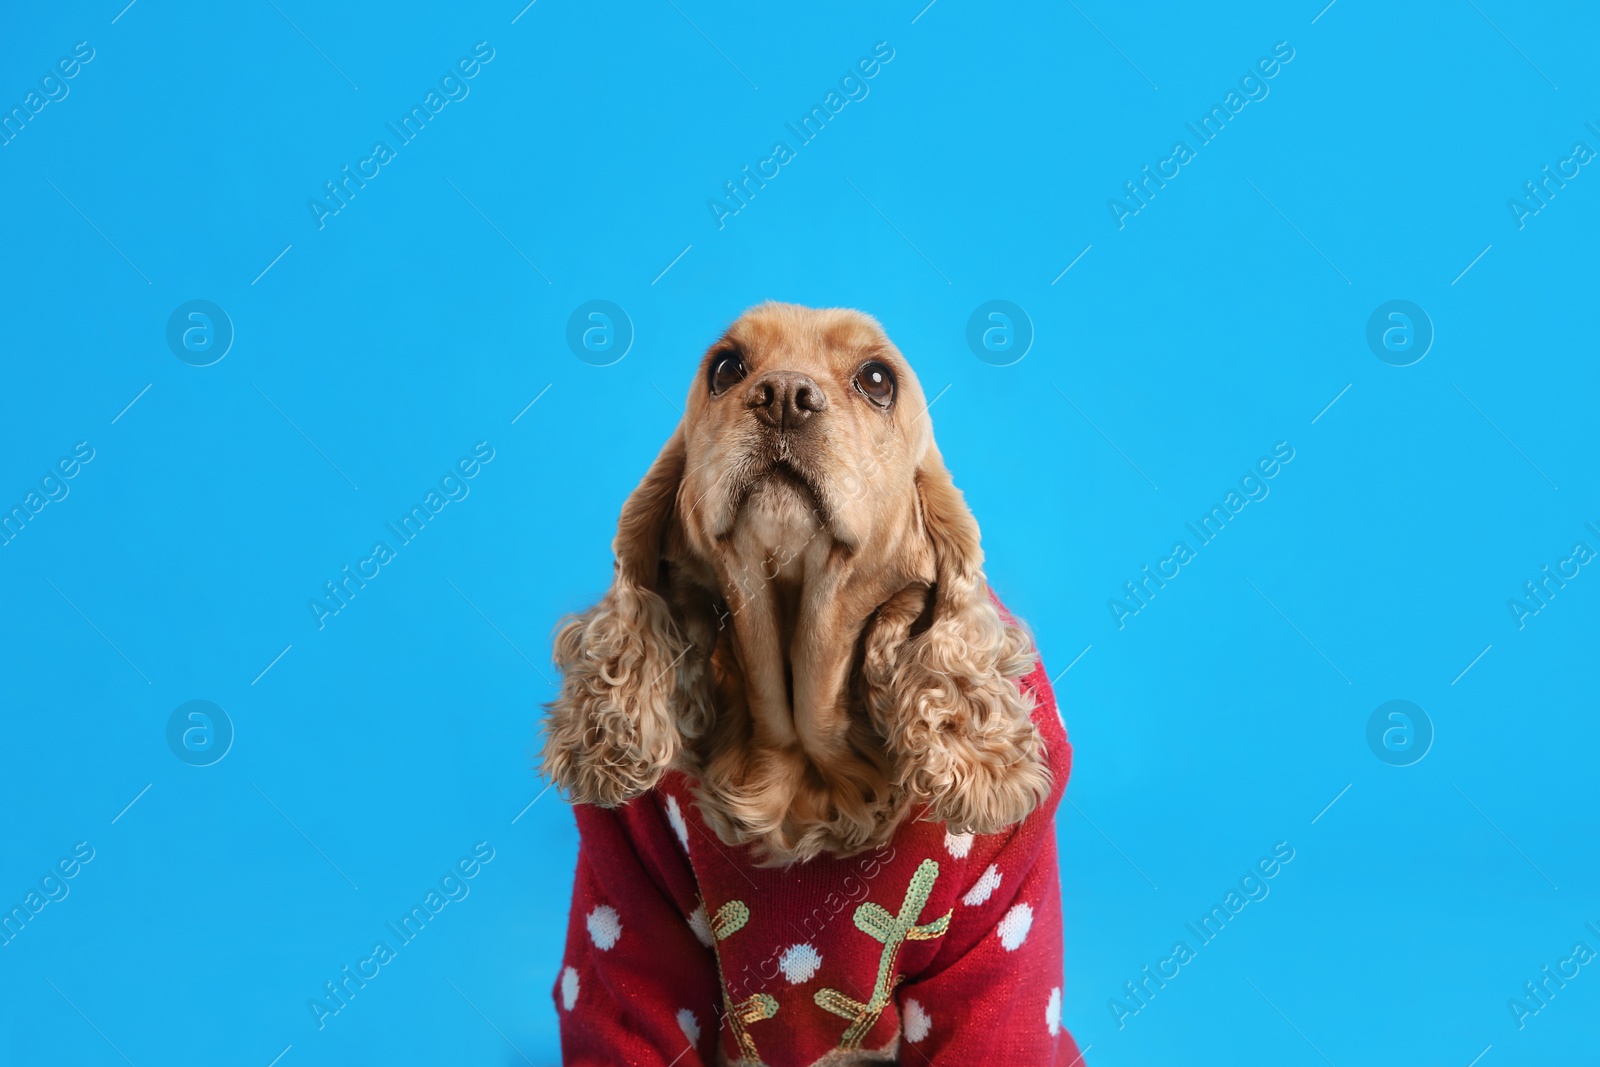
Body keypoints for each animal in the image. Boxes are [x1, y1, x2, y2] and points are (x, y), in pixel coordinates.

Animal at [544, 303, 1081, 1062]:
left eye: (877, 379)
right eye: (727, 367)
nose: (783, 396)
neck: (804, 752)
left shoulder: (1004, 912)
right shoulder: (625, 906)